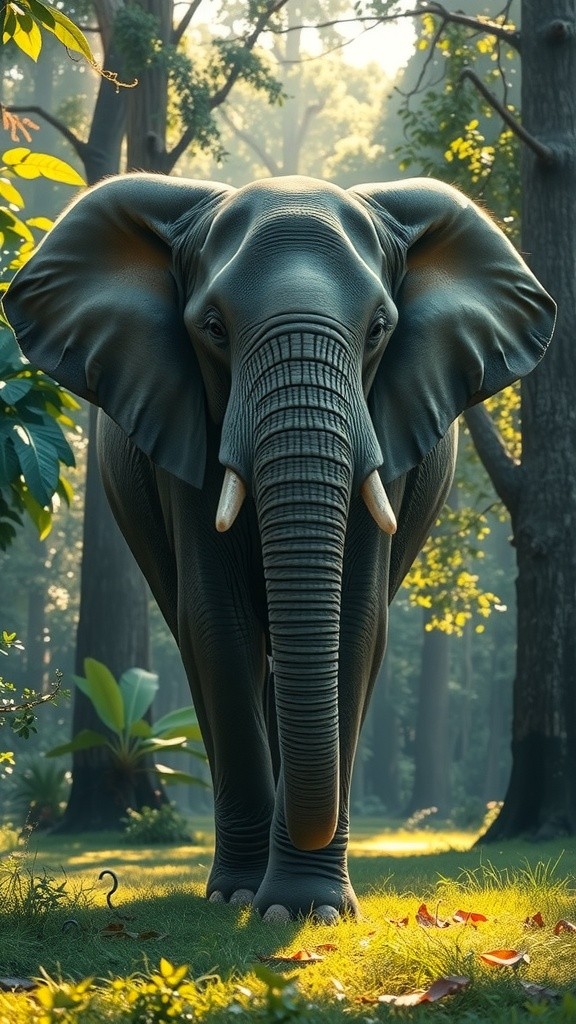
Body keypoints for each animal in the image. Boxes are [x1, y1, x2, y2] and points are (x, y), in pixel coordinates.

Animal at [4, 173, 555, 921]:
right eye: (212, 329)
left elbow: (356, 626)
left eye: (379, 330)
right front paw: (249, 899)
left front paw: (307, 911)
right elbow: (218, 623)